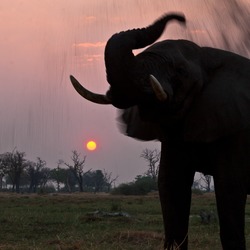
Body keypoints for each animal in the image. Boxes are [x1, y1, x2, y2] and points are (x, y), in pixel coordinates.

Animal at [69, 14, 250, 250]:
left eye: (180, 71)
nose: (182, 19)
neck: (209, 56)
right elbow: (170, 183)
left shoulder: (235, 126)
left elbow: (229, 185)